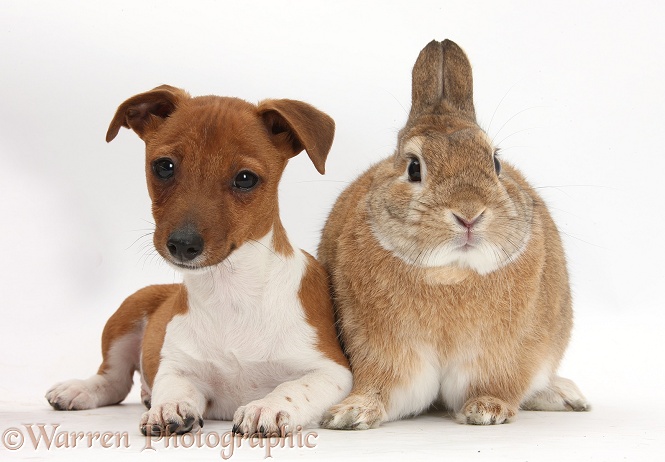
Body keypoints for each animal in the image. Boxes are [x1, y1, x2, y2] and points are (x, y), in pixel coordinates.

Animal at [45, 85, 352, 436]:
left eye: (245, 178)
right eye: (164, 166)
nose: (182, 244)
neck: (231, 292)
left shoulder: (332, 371)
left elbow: (293, 388)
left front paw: (268, 406)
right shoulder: (177, 367)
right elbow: (173, 386)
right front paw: (168, 406)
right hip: (126, 314)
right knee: (113, 380)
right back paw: (81, 389)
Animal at [320, 39, 588, 430]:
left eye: (495, 162)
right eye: (414, 168)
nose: (469, 215)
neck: (452, 273)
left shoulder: (500, 355)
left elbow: (496, 384)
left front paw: (487, 410)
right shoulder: (387, 352)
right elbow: (385, 389)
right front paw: (350, 413)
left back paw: (567, 396)